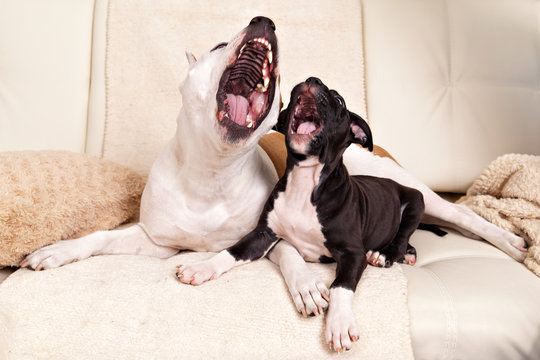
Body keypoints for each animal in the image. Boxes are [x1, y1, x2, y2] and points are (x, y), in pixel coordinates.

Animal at [179, 76, 424, 352]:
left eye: (339, 100)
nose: (312, 79)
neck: (305, 182)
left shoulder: (353, 253)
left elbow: (341, 286)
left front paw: (339, 323)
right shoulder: (263, 234)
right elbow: (232, 251)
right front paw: (201, 267)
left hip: (415, 200)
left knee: (403, 235)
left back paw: (387, 254)